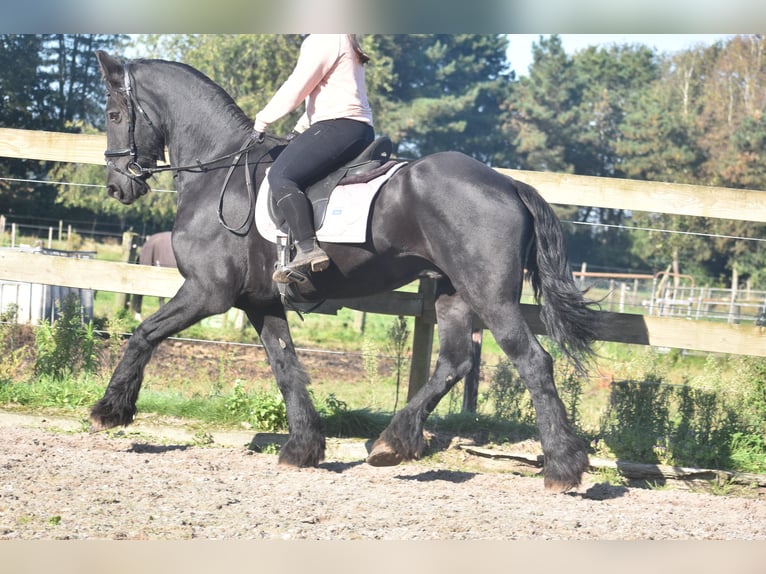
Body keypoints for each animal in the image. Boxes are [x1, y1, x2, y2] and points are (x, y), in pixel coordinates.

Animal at [93, 49, 604, 492]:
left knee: (532, 361)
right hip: (453, 292)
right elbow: (286, 368)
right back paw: (391, 443)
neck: (218, 170)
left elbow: (144, 334)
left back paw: (562, 467)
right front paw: (302, 448)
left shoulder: (206, 291)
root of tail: (509, 183)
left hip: (489, 294)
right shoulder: (260, 301)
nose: (116, 187)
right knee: (455, 362)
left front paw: (110, 410)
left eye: (114, 115)